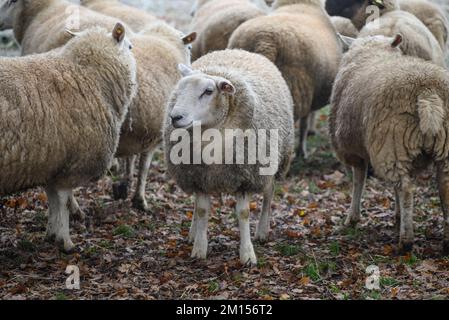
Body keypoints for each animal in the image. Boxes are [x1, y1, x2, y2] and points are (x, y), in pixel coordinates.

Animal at [0, 0, 196, 214]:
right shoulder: (153, 135)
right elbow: (143, 167)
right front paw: (139, 199)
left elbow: (131, 160)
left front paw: (124, 186)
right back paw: (76, 209)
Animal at [0, 23, 137, 251]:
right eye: (130, 46)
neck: (87, 73)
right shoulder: (71, 167)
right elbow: (63, 202)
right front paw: (66, 242)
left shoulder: (53, 163)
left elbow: (53, 200)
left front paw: (51, 234)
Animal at [163, 48, 296, 264]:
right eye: (180, 89)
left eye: (208, 91)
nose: (175, 117)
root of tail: (239, 50)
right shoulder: (198, 175)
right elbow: (202, 210)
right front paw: (199, 248)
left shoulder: (245, 176)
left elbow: (243, 213)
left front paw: (247, 254)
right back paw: (192, 232)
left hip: (274, 161)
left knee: (269, 193)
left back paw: (262, 230)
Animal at [328, 34, 448, 255]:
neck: (373, 53)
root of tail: (427, 92)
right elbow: (393, 188)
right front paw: (397, 215)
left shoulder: (355, 151)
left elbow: (359, 181)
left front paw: (352, 218)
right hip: (433, 148)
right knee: (444, 188)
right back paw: (445, 242)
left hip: (391, 144)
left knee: (407, 189)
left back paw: (405, 242)